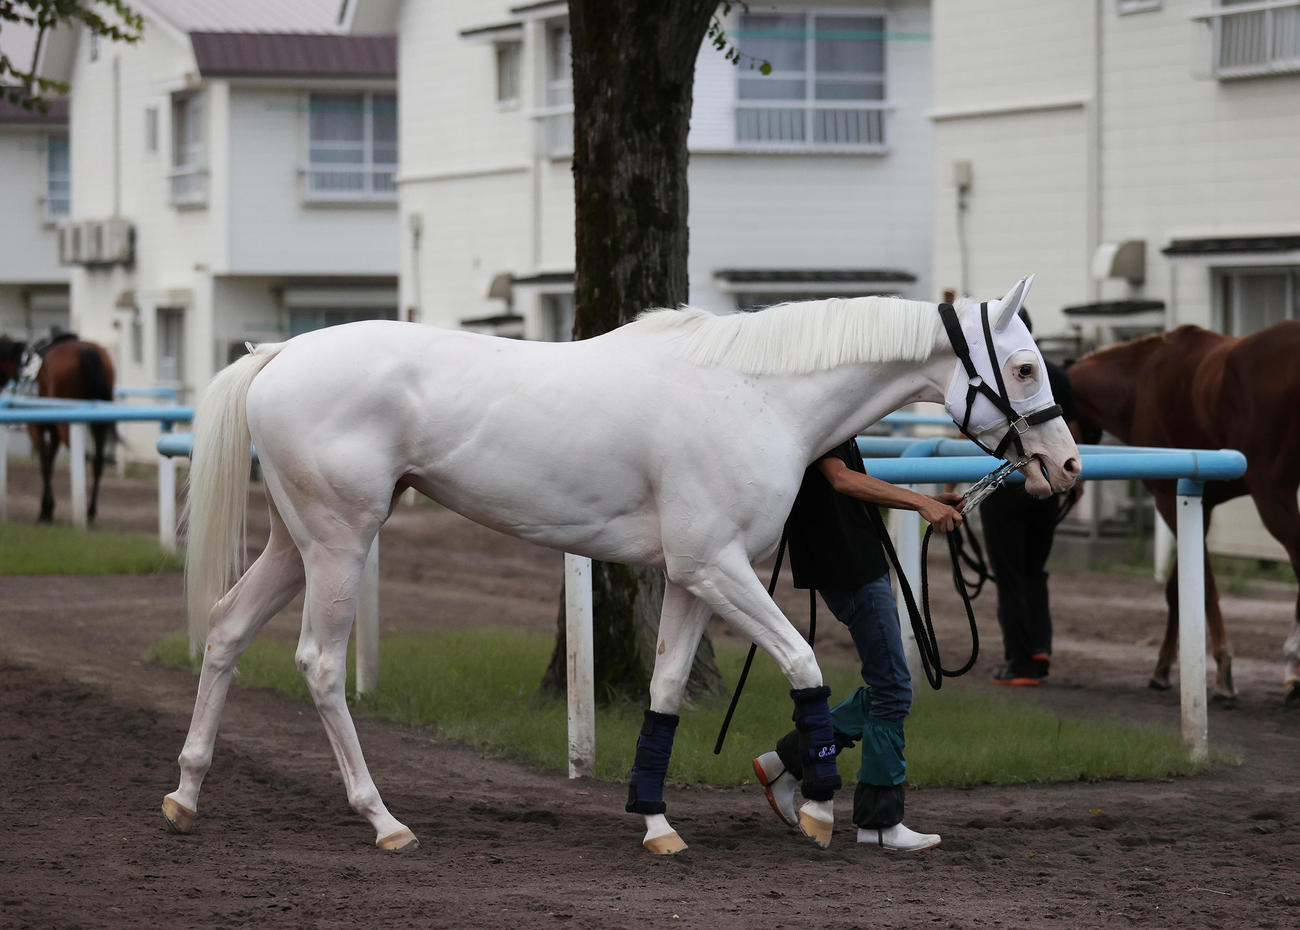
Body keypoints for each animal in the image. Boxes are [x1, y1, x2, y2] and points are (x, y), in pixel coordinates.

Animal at [0, 334, 116, 523]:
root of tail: (87, 351)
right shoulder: (53, 431)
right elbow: (50, 462)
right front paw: (48, 509)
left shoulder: (36, 427)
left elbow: (45, 463)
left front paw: (45, 510)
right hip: (100, 424)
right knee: (97, 461)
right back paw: (91, 511)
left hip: (66, 424)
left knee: (84, 457)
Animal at [162, 277, 1079, 854]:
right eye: (1026, 365)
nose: (1065, 467)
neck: (755, 393)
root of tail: (279, 355)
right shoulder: (718, 568)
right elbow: (804, 661)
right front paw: (818, 802)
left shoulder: (691, 578)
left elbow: (666, 688)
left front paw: (656, 821)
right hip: (340, 542)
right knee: (319, 664)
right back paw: (382, 819)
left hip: (296, 544)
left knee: (227, 629)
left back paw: (186, 794)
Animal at [1069, 322, 1300, 707]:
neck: (1138, 384)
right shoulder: (1197, 506)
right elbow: (1179, 588)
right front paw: (1162, 668)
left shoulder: (1169, 499)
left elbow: (1199, 586)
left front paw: (1223, 672)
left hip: (1273, 497)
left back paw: (1292, 668)